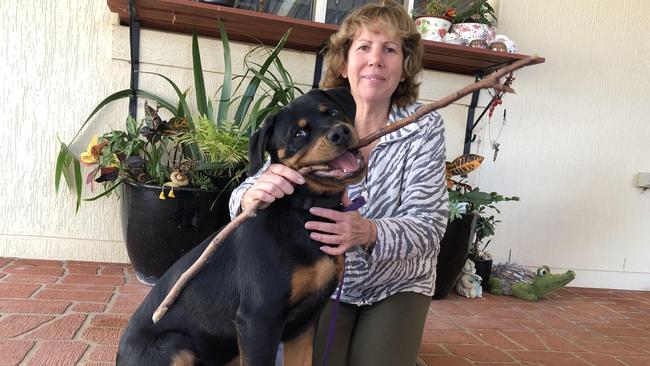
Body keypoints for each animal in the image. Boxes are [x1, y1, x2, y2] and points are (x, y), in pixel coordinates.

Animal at [117, 88, 364, 366]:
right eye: (299, 134)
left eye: (333, 112)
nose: (340, 132)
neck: (302, 213)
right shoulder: (259, 318)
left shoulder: (304, 324)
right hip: (176, 347)